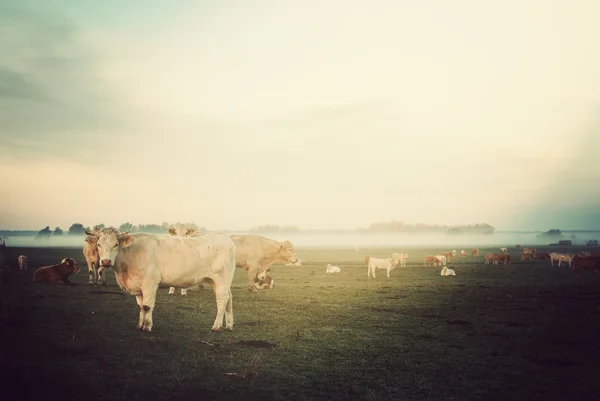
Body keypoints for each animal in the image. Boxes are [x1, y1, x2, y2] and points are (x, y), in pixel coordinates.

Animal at [87, 228, 237, 332]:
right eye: (99, 244)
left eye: (116, 244)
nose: (106, 261)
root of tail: (223, 236)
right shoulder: (138, 287)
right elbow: (140, 306)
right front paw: (139, 325)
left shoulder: (150, 283)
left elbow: (147, 306)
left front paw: (147, 327)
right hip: (220, 281)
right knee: (229, 297)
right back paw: (229, 325)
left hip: (221, 279)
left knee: (222, 300)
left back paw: (216, 327)